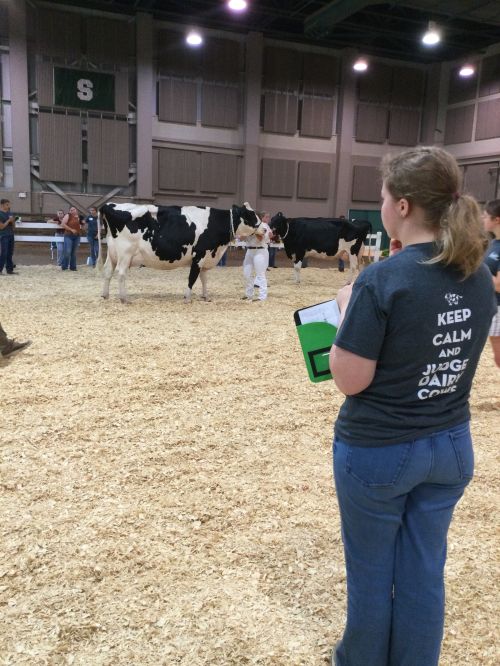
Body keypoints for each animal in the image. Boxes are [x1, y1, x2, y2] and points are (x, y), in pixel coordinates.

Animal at [98, 201, 266, 302]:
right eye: (251, 216)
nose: (265, 229)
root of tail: (109, 205)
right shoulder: (199, 256)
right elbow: (192, 278)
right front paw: (187, 297)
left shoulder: (206, 256)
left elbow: (204, 278)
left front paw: (205, 296)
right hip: (125, 253)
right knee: (121, 273)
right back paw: (124, 298)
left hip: (112, 253)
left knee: (107, 271)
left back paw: (105, 295)